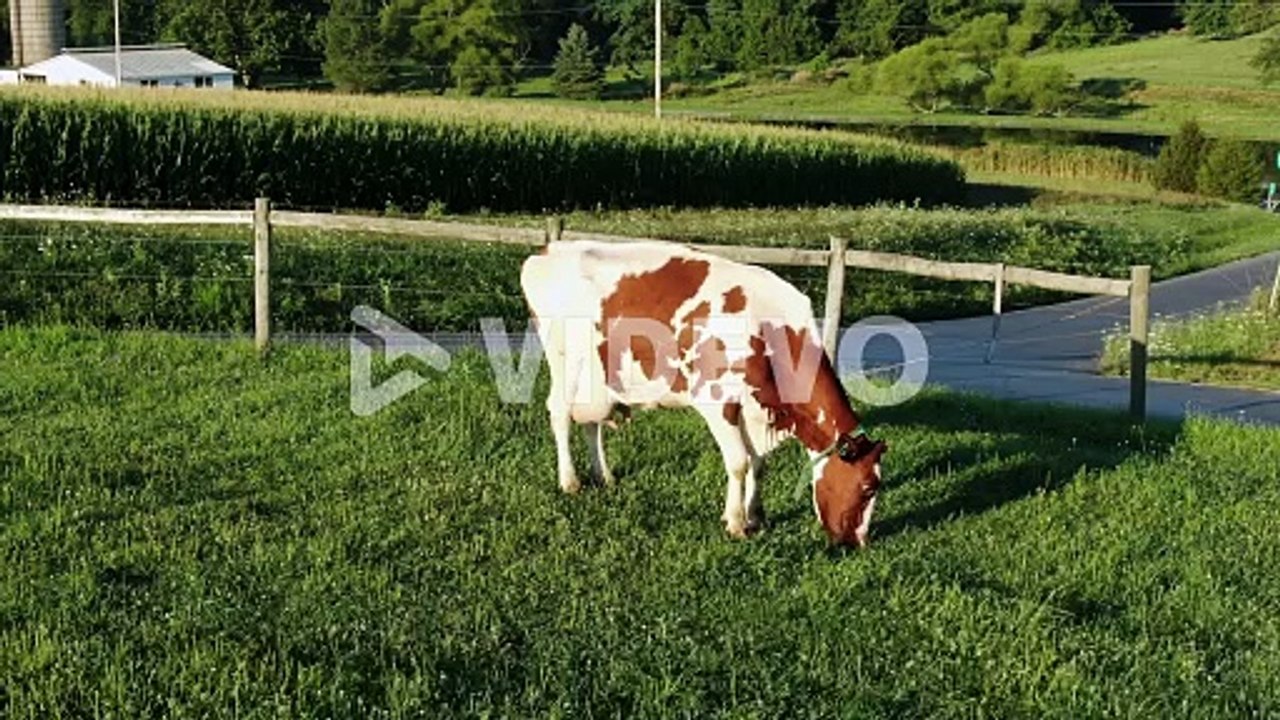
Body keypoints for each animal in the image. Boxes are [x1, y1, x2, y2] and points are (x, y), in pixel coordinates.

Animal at [520, 240, 885, 547]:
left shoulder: (753, 408)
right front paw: (735, 522)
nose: (858, 543)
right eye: (868, 488)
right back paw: (570, 481)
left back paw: (604, 476)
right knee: (560, 413)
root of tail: (550, 248)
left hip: (597, 377)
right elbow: (738, 462)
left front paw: (756, 516)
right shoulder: (717, 400)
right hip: (563, 362)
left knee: (590, 421)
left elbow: (758, 463)